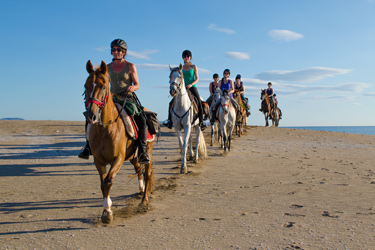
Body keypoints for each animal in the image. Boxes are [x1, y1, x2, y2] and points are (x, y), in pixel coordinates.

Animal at [85, 60, 156, 223]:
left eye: (103, 86)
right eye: (85, 85)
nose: (91, 115)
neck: (105, 129)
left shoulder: (118, 158)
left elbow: (108, 181)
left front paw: (107, 212)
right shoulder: (98, 160)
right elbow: (102, 183)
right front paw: (106, 208)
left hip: (147, 151)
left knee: (147, 173)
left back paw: (144, 200)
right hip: (134, 156)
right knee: (139, 170)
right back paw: (141, 190)